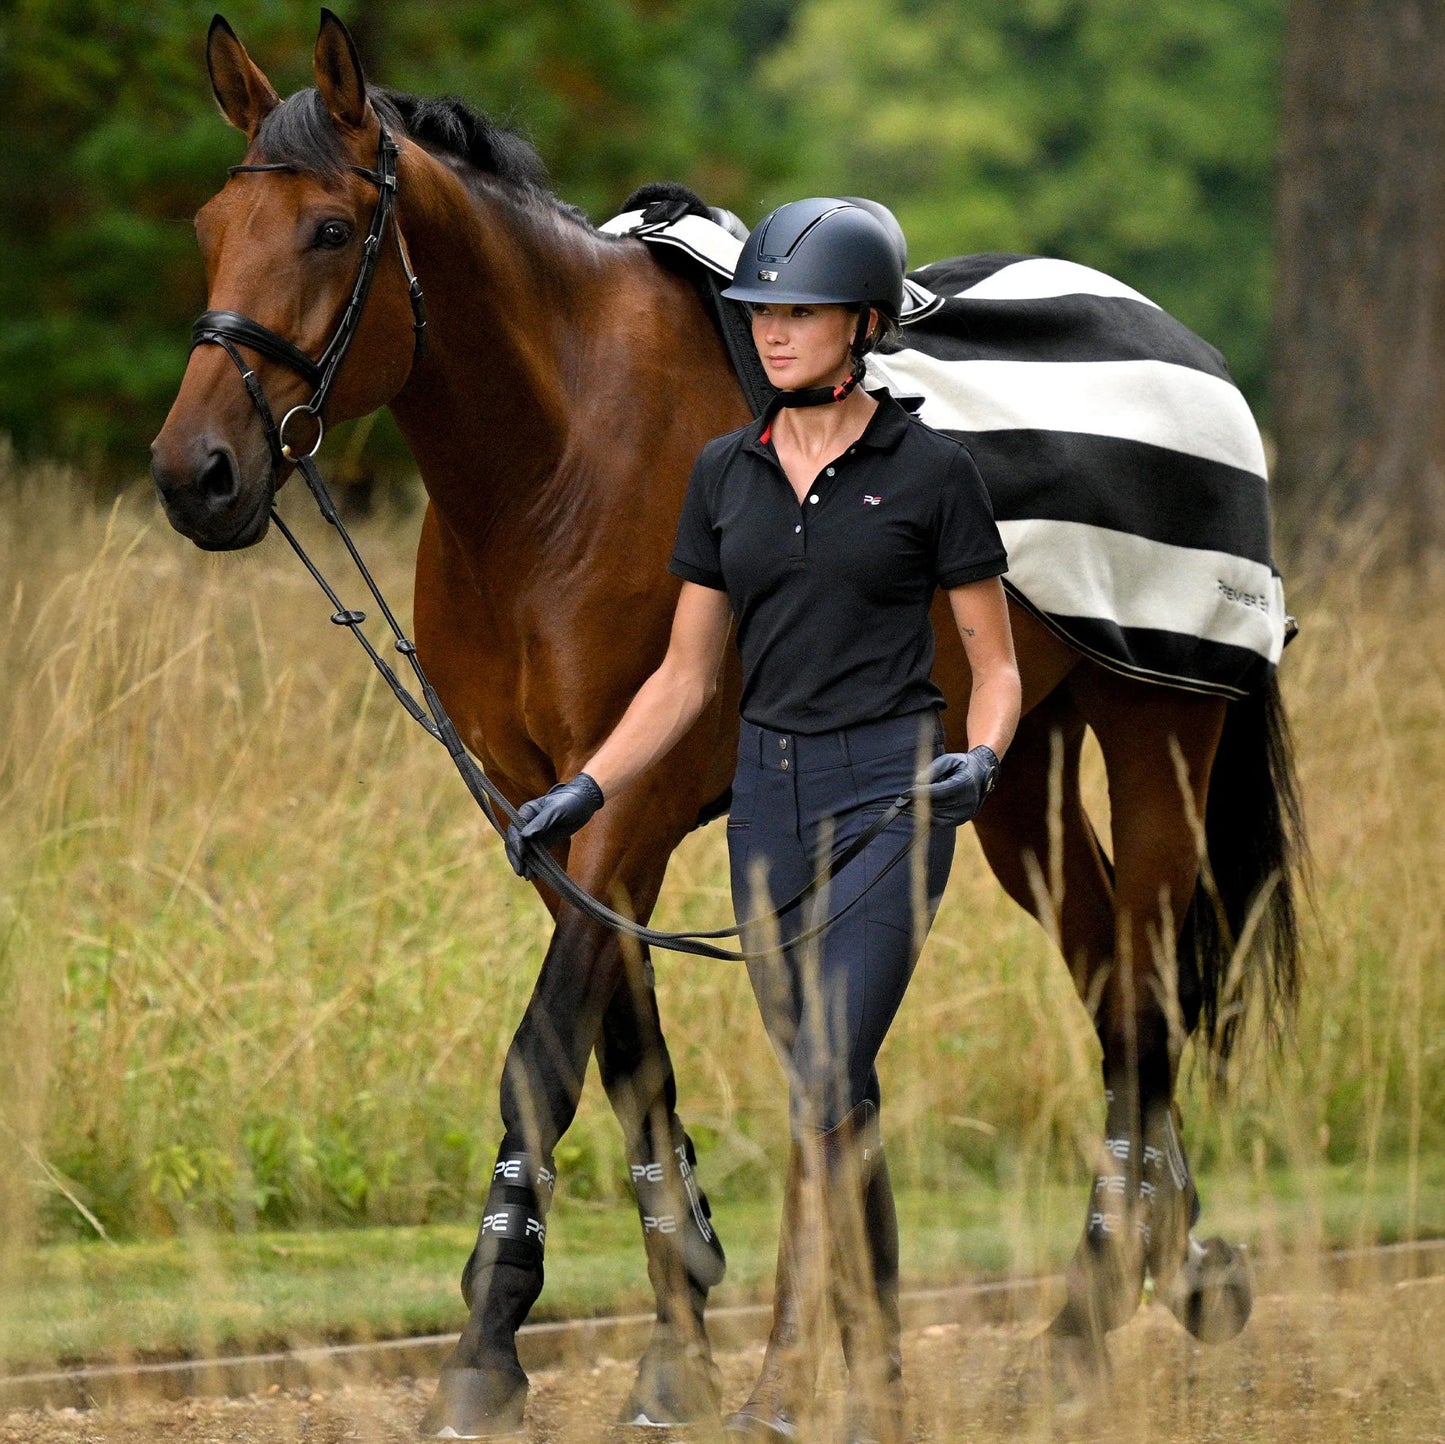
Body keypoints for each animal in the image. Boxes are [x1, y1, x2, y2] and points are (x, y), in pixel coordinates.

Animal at [150, 12, 1302, 1436]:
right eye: (210, 225)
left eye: (324, 230)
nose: (194, 474)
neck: (558, 458)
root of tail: (1191, 356)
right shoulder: (550, 811)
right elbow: (629, 1059)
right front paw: (677, 1340)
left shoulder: (630, 803)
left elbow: (545, 1054)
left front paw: (489, 1343)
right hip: (1015, 770)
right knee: (1105, 975)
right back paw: (1162, 1258)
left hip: (1155, 731)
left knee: (1142, 993)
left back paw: (1088, 1324)